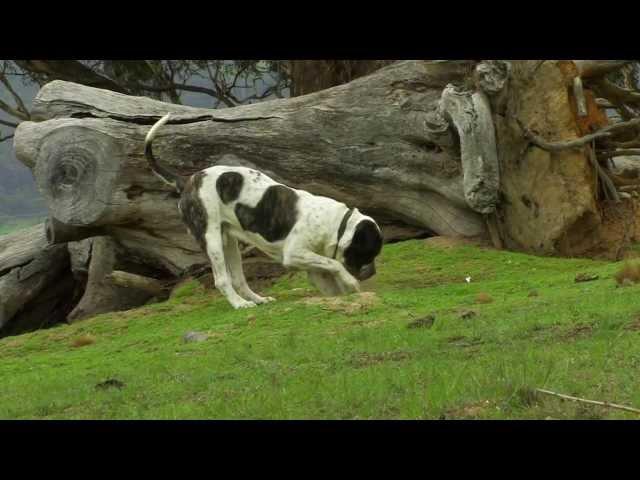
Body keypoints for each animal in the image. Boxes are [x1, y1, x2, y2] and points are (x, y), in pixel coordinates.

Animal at [145, 113, 382, 310]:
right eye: (369, 253)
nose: (373, 272)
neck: (338, 225)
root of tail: (186, 181)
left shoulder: (313, 266)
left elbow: (331, 276)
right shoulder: (294, 253)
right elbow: (335, 264)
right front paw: (351, 281)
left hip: (229, 243)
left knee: (239, 279)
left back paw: (257, 299)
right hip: (212, 240)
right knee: (222, 280)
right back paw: (239, 304)